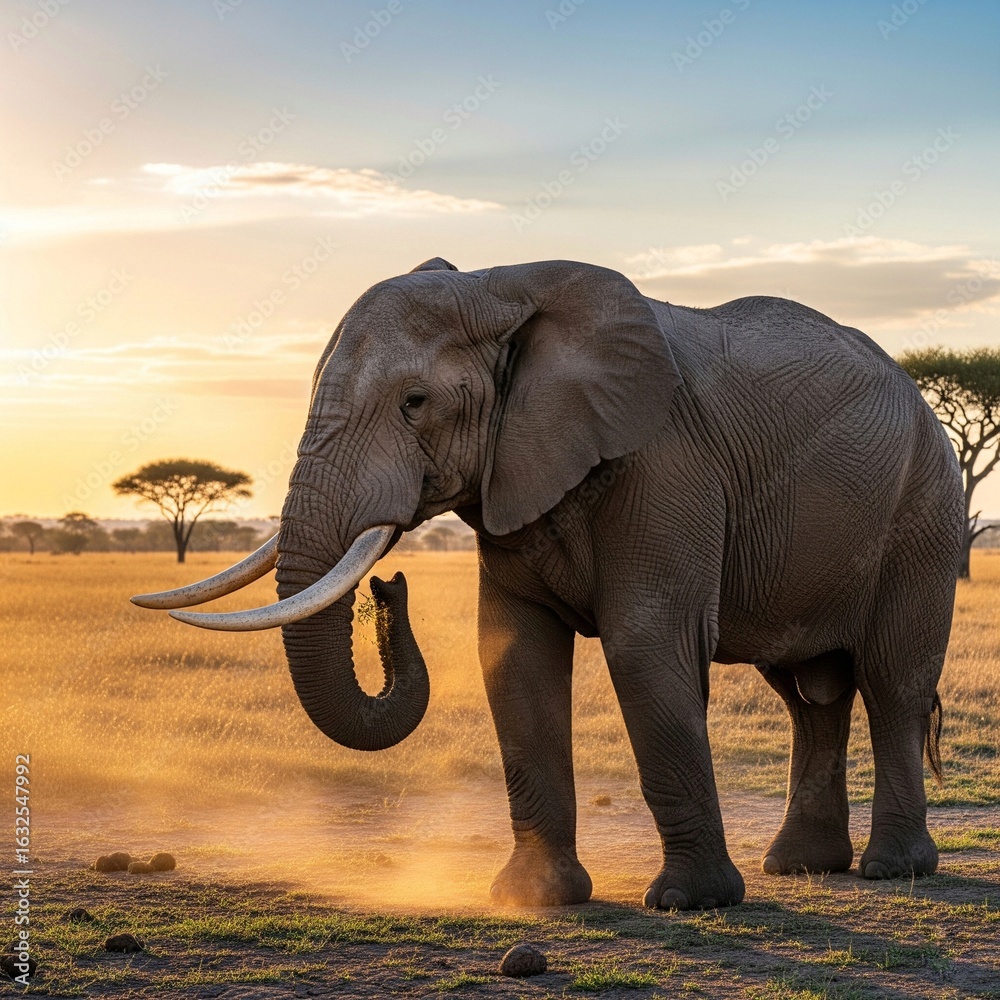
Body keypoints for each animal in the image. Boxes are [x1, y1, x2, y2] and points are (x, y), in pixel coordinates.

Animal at [132, 257, 964, 911]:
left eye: (414, 403)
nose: (389, 585)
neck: (501, 286)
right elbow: (513, 654)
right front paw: (533, 899)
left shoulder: (666, 462)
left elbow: (644, 646)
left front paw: (688, 903)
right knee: (809, 695)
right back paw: (800, 868)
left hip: (924, 509)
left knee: (892, 681)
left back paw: (891, 871)